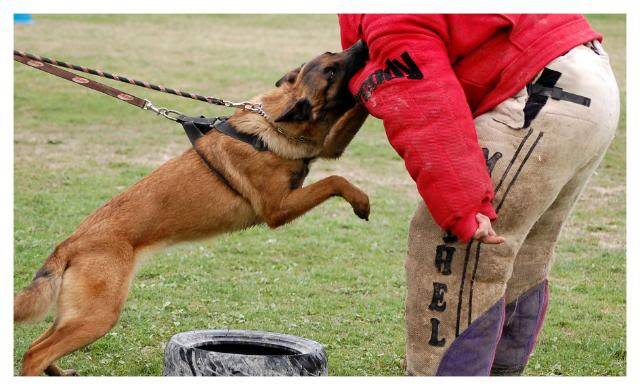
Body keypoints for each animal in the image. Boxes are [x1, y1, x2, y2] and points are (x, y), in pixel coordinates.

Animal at [13, 41, 370, 376]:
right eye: (331, 72)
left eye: (333, 54)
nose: (363, 46)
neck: (273, 124)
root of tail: (67, 245)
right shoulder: (278, 209)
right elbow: (335, 180)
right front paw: (361, 203)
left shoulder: (329, 147)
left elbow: (352, 121)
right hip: (98, 315)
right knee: (34, 353)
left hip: (78, 314)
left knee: (38, 342)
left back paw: (59, 372)